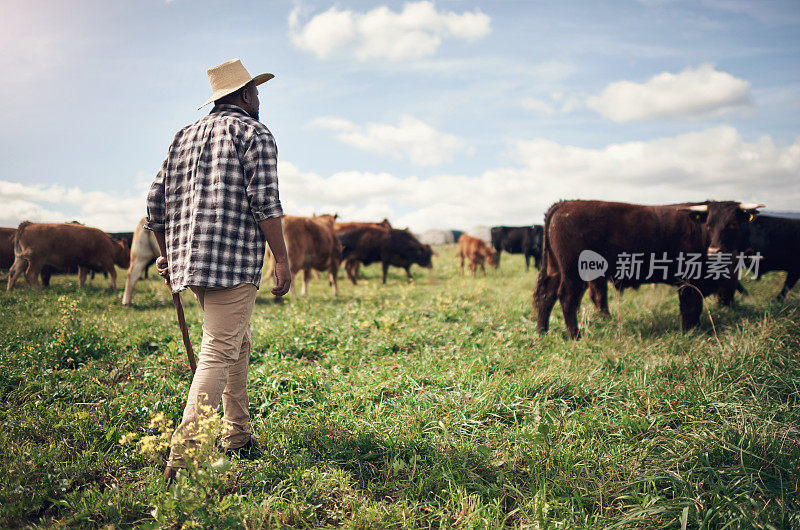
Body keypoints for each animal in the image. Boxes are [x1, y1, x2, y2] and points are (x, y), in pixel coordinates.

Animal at [536, 198, 764, 338]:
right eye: (709, 225)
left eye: (732, 224)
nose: (715, 250)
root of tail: (565, 204)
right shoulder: (688, 281)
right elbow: (689, 307)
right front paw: (690, 332)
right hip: (574, 272)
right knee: (567, 299)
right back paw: (575, 336)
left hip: (556, 269)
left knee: (546, 296)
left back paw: (542, 332)